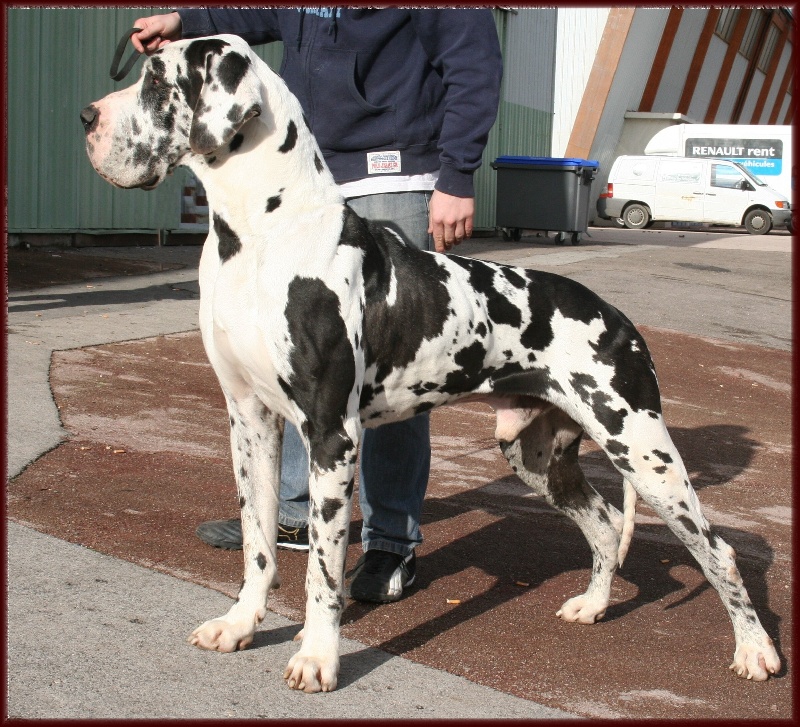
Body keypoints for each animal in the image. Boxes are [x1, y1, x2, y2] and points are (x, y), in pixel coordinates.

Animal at [84, 35, 780, 692]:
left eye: (155, 79)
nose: (87, 116)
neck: (261, 236)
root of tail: (618, 318)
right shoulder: (249, 419)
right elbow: (258, 541)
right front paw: (240, 624)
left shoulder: (332, 435)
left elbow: (322, 569)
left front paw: (318, 657)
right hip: (534, 453)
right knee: (607, 524)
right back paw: (593, 606)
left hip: (643, 449)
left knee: (717, 550)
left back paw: (755, 651)